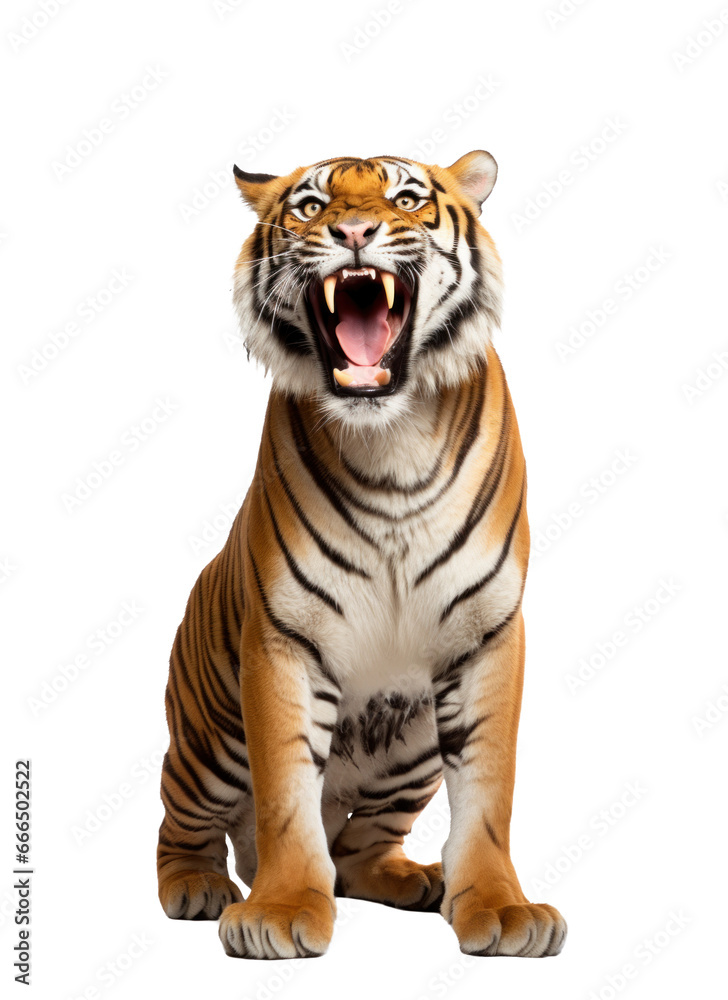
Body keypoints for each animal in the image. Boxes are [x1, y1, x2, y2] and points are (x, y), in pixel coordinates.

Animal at [156, 151, 567, 960]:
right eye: (311, 205)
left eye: (406, 198)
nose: (352, 232)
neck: (391, 434)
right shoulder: (283, 638)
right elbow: (285, 792)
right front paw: (281, 911)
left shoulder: (487, 635)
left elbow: (490, 789)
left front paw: (501, 909)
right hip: (208, 741)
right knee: (179, 818)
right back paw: (198, 886)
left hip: (413, 747)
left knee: (355, 851)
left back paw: (417, 880)